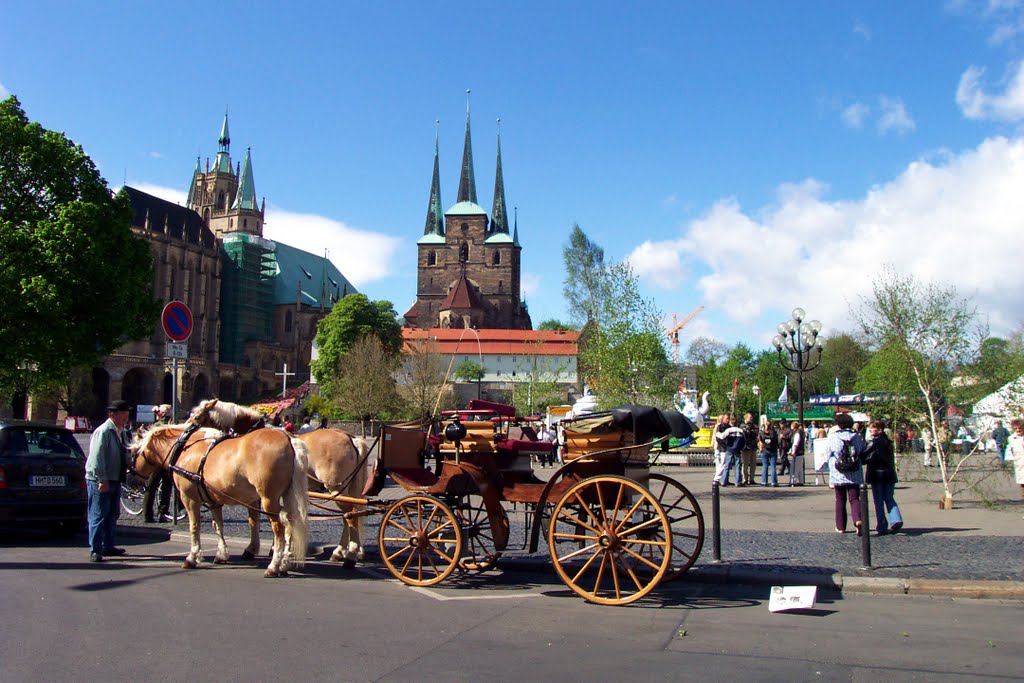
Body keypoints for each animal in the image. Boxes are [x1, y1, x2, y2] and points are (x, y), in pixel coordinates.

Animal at [132, 428, 307, 577]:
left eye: (133, 453)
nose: (132, 480)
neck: (185, 449)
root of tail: (288, 438)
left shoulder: (189, 499)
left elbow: (194, 526)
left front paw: (192, 557)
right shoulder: (214, 500)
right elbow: (218, 525)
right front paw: (221, 554)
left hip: (268, 499)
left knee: (279, 529)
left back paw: (274, 566)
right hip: (285, 496)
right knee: (290, 525)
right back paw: (284, 565)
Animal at [188, 401, 372, 565]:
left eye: (196, 417)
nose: (185, 433)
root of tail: (351, 438)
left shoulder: (261, 493)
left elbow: (257, 519)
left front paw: (258, 549)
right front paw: (279, 548)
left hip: (335, 487)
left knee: (350, 515)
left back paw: (347, 552)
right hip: (347, 488)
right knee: (353, 514)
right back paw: (349, 551)